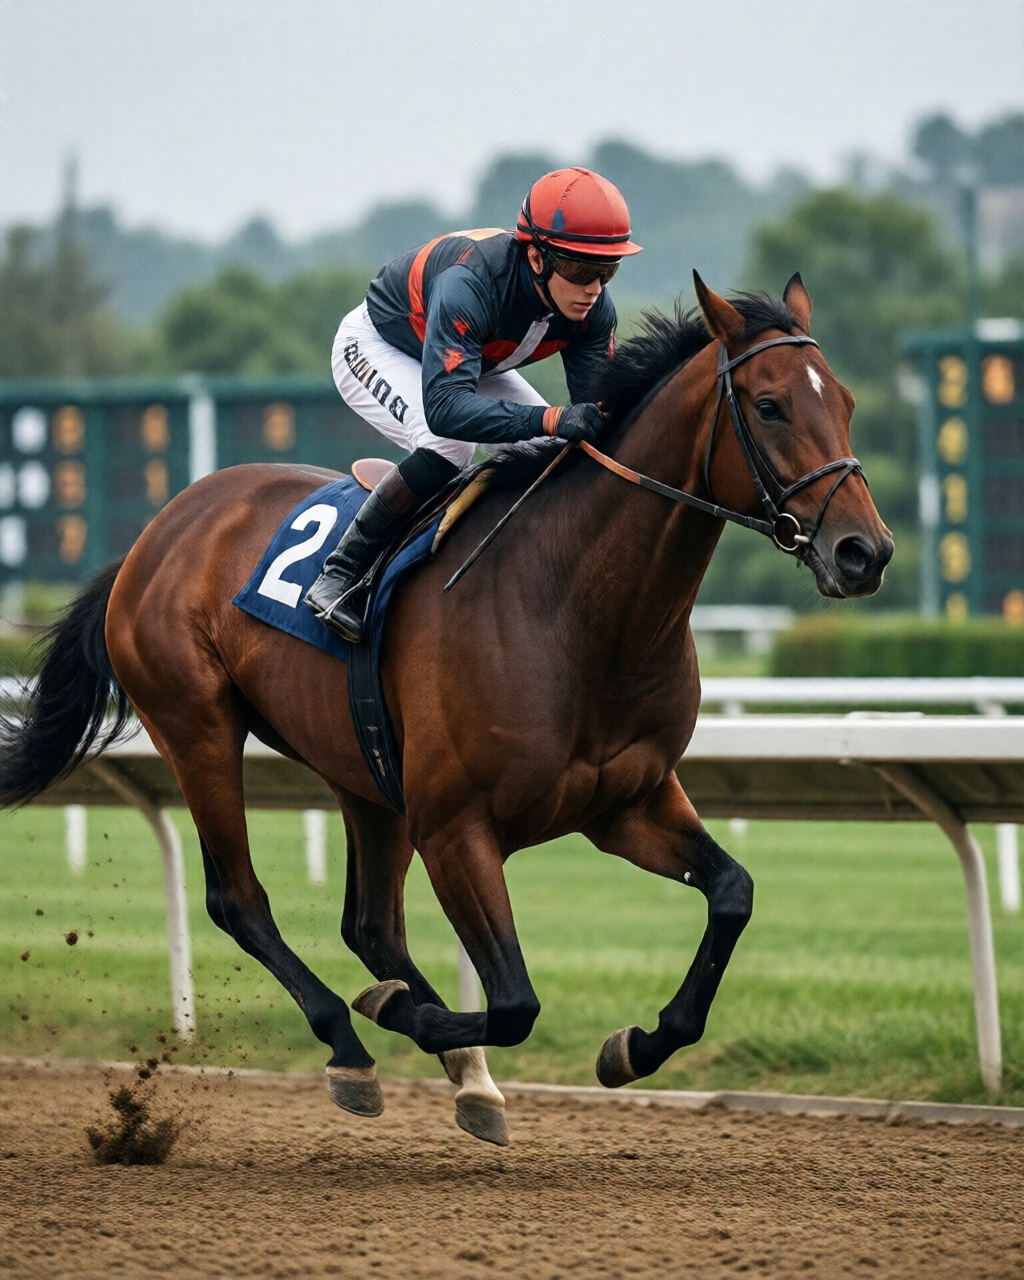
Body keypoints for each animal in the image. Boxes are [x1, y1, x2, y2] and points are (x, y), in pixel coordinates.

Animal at [1, 274, 892, 1147]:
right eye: (770, 405)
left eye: (846, 400)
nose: (866, 552)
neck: (575, 605)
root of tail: (153, 535)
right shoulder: (456, 826)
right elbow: (516, 1000)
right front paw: (402, 1013)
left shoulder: (625, 802)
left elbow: (732, 892)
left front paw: (634, 1045)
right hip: (199, 729)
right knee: (240, 900)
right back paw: (353, 1043)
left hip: (364, 772)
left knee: (369, 925)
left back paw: (462, 1074)